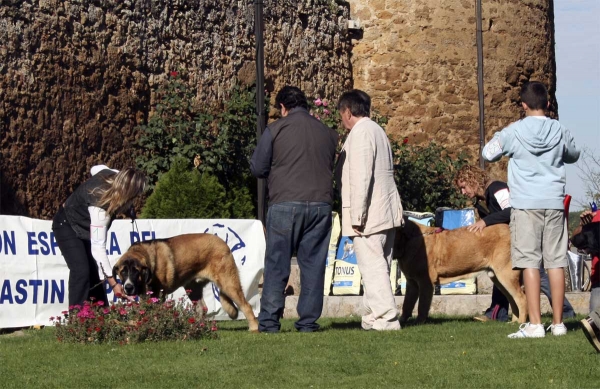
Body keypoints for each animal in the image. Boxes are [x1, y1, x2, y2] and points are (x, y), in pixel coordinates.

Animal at [113, 232, 258, 332]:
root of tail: (223, 243)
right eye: (123, 272)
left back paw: (254, 328)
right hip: (193, 289)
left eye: (135, 271)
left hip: (228, 284)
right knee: (201, 309)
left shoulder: (158, 294)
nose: (128, 287)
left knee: (246, 306)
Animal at [394, 218, 524, 324]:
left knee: (521, 298)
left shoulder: (425, 282)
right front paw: (402, 321)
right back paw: (514, 321)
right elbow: (407, 304)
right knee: (512, 299)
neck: (408, 240)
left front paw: (419, 322)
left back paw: (521, 322)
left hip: (505, 274)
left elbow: (422, 305)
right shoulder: (412, 283)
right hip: (497, 278)